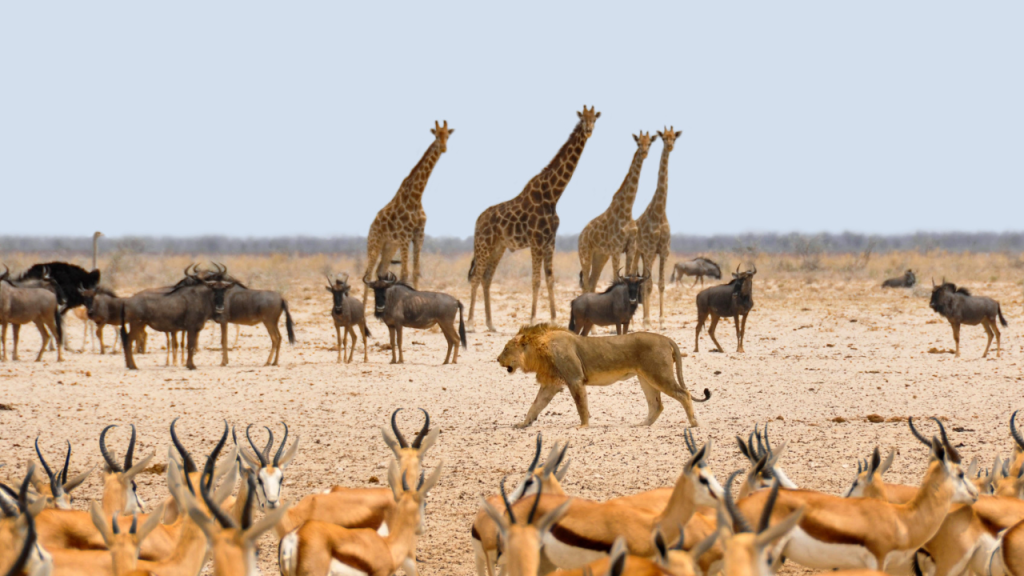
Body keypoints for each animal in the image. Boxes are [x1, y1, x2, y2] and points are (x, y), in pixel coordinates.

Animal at [362, 119, 454, 293]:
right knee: (368, 274)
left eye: (448, 136)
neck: (416, 197)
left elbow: (416, 272)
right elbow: (405, 273)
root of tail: (371, 226)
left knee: (380, 271)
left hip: (390, 246)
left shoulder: (419, 234)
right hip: (375, 243)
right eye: (436, 136)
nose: (444, 148)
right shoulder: (405, 235)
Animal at [468, 106, 602, 332]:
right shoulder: (537, 241)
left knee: (486, 278)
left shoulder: (550, 241)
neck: (553, 195)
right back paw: (470, 323)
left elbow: (550, 279)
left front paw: (554, 319)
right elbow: (536, 280)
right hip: (483, 244)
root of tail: (478, 221)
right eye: (583, 119)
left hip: (498, 247)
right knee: (476, 277)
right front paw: (532, 319)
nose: (589, 130)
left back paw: (491, 324)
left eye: (595, 120)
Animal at [497, 323, 712, 426]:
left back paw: (693, 423)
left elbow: (581, 405)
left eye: (506, 349)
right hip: (646, 379)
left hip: (659, 375)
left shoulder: (575, 379)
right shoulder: (551, 384)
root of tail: (666, 338)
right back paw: (642, 424)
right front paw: (523, 423)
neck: (539, 349)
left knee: (684, 394)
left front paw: (583, 426)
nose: (497, 359)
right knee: (656, 405)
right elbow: (535, 405)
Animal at [577, 130, 655, 291]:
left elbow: (629, 274)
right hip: (585, 254)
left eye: (650, 143)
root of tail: (580, 236)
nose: (644, 152)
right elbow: (616, 277)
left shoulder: (630, 248)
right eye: (639, 143)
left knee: (592, 283)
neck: (627, 210)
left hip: (600, 256)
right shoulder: (616, 249)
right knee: (586, 284)